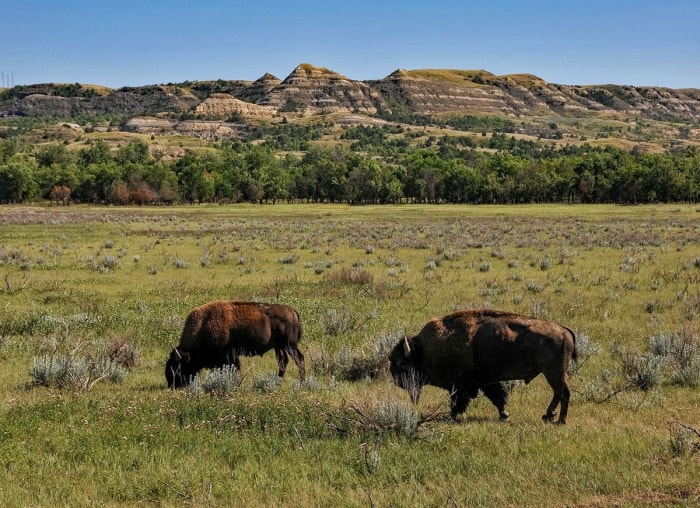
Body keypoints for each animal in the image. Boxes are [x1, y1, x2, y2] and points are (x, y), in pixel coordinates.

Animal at [167, 300, 306, 386]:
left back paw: (302, 383)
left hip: (289, 345)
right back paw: (277, 382)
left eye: (178, 367)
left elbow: (233, 369)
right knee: (283, 362)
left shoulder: (228, 357)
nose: (171, 385)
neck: (204, 326)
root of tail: (292, 311)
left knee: (299, 359)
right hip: (279, 347)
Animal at [386, 310, 576, 424]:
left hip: (553, 373)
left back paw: (558, 419)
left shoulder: (459, 386)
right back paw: (552, 417)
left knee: (563, 393)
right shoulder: (487, 382)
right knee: (560, 393)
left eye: (401, 363)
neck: (424, 351)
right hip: (554, 373)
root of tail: (564, 330)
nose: (396, 381)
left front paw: (449, 416)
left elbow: (458, 403)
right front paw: (504, 416)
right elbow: (498, 398)